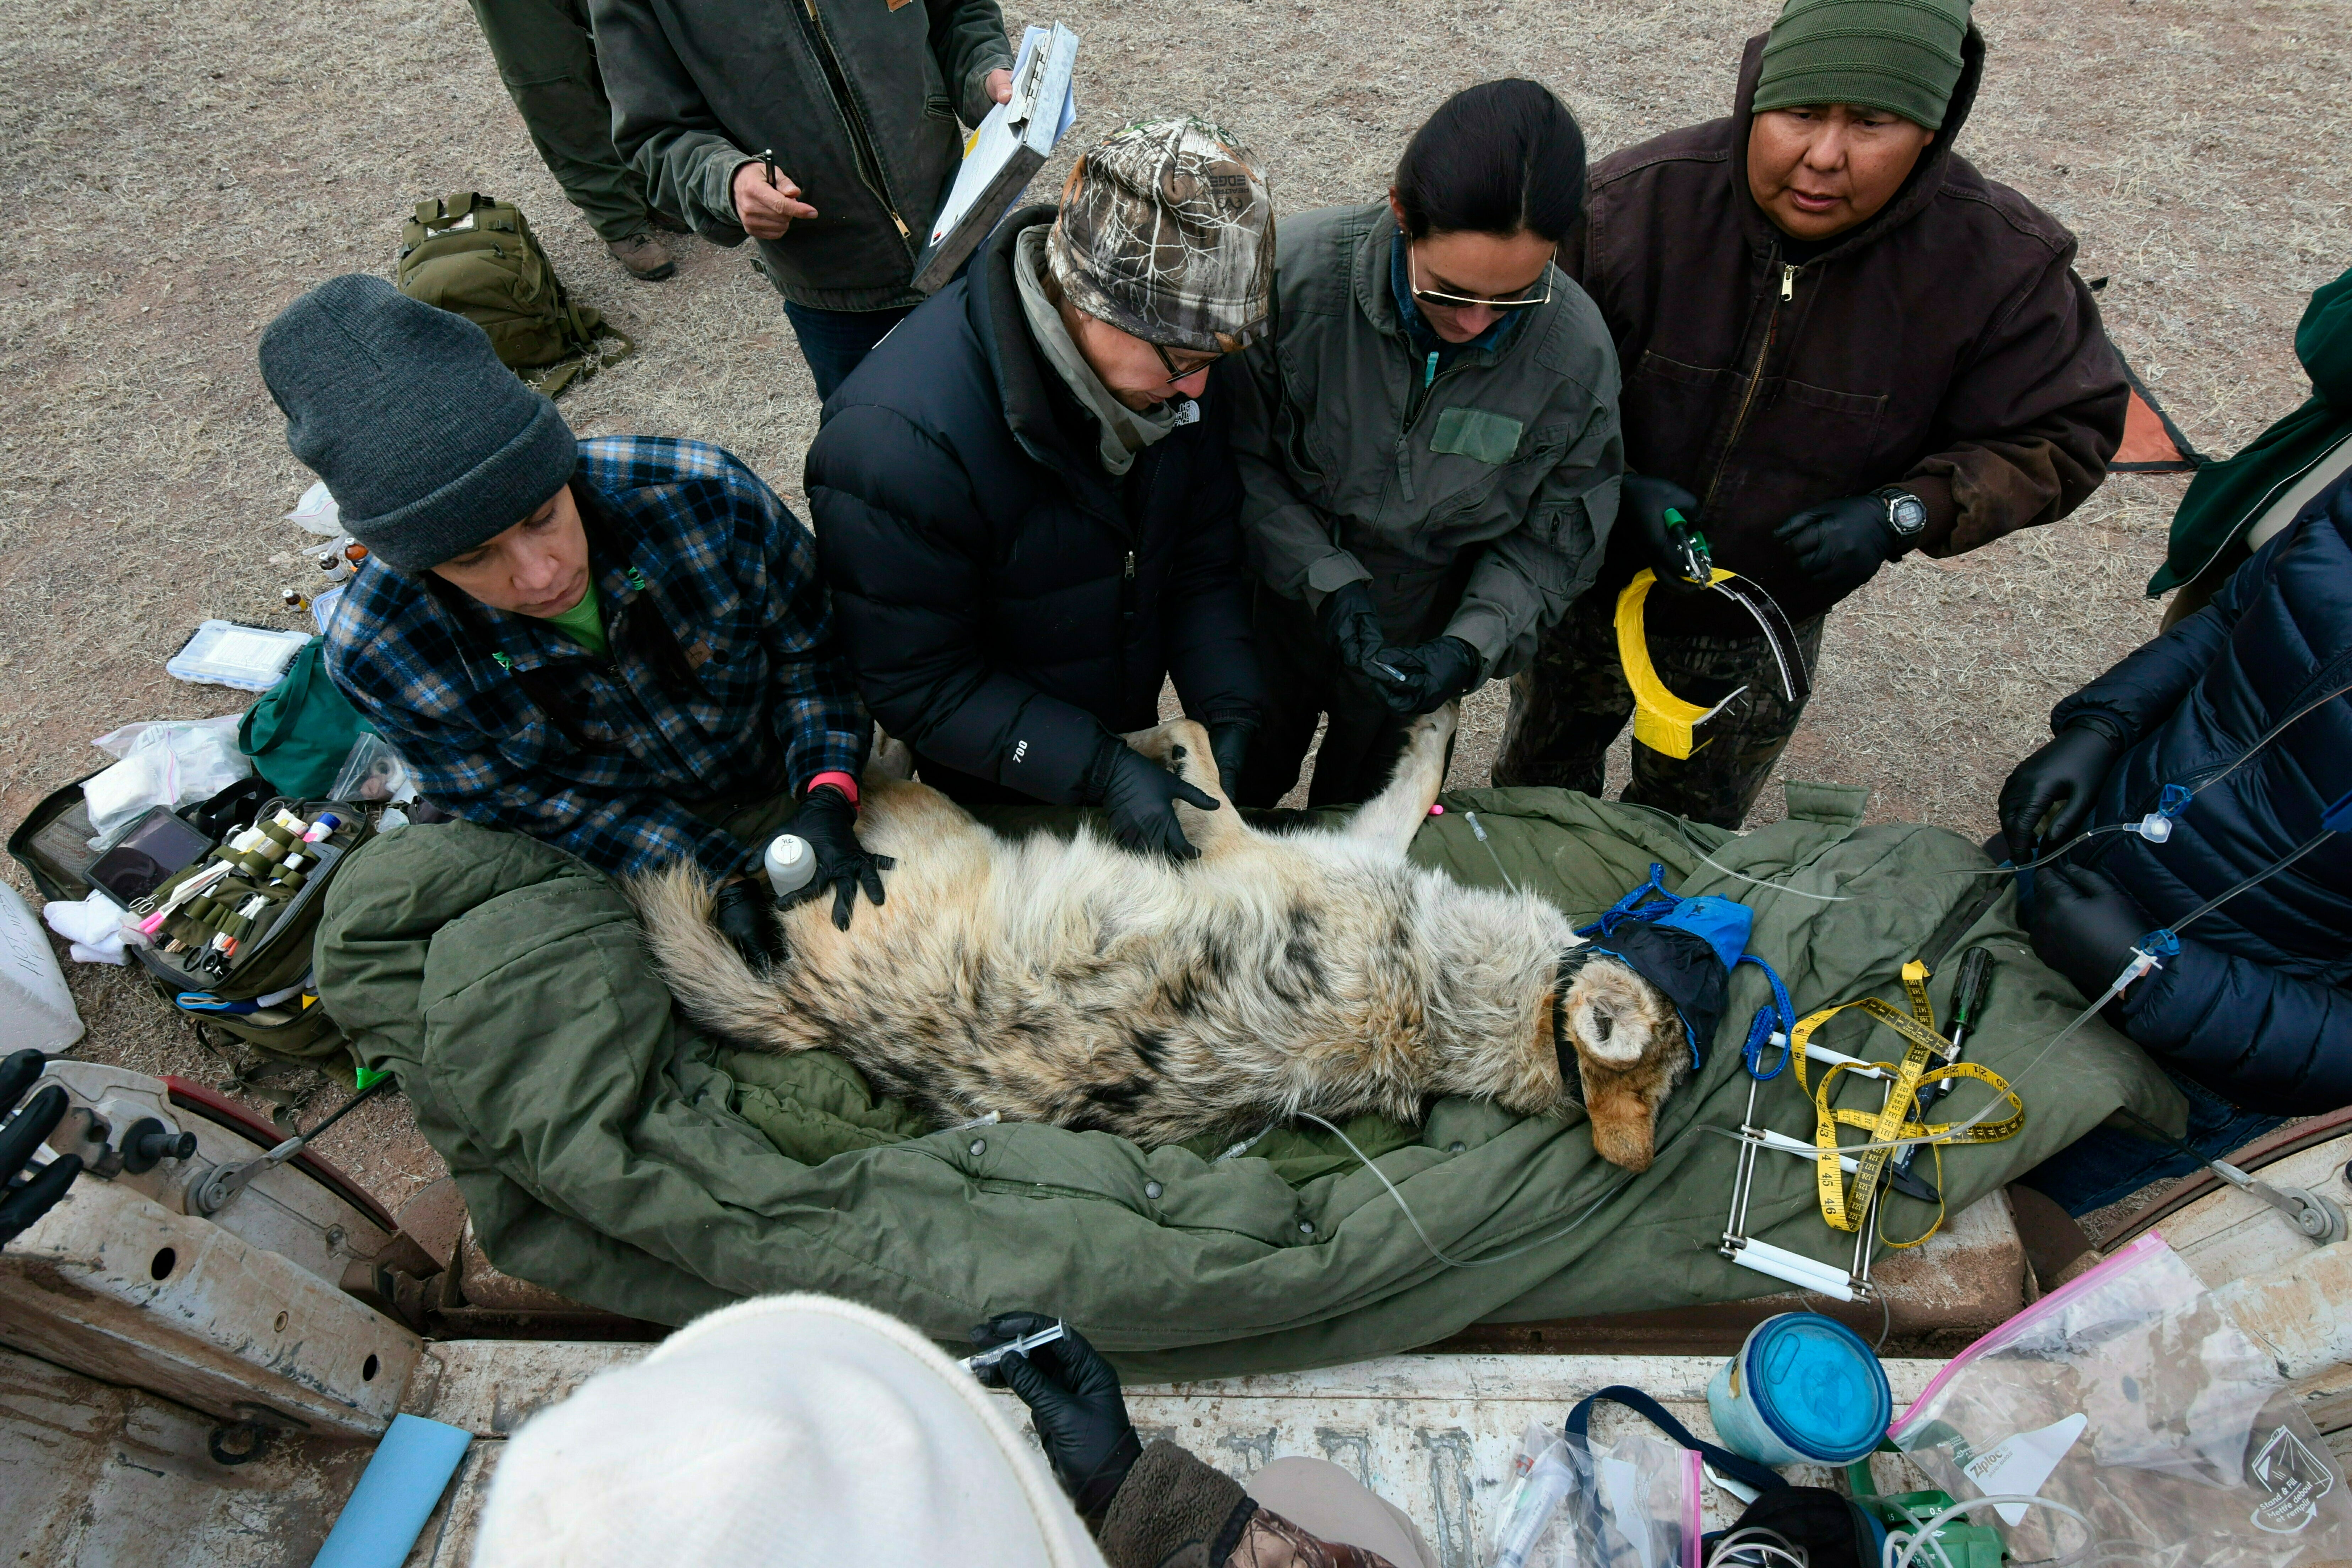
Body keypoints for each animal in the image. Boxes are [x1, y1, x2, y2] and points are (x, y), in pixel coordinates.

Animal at [632, 706, 1691, 1169]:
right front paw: (1436, 706)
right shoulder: (1346, 841)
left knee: (869, 774)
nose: (1692, 917)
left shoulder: (1244, 840)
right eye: (1673, 938)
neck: (1445, 1003)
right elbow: (1410, 774)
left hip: (928, 824)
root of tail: (817, 1016)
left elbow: (1193, 737)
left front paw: (1140, 747)